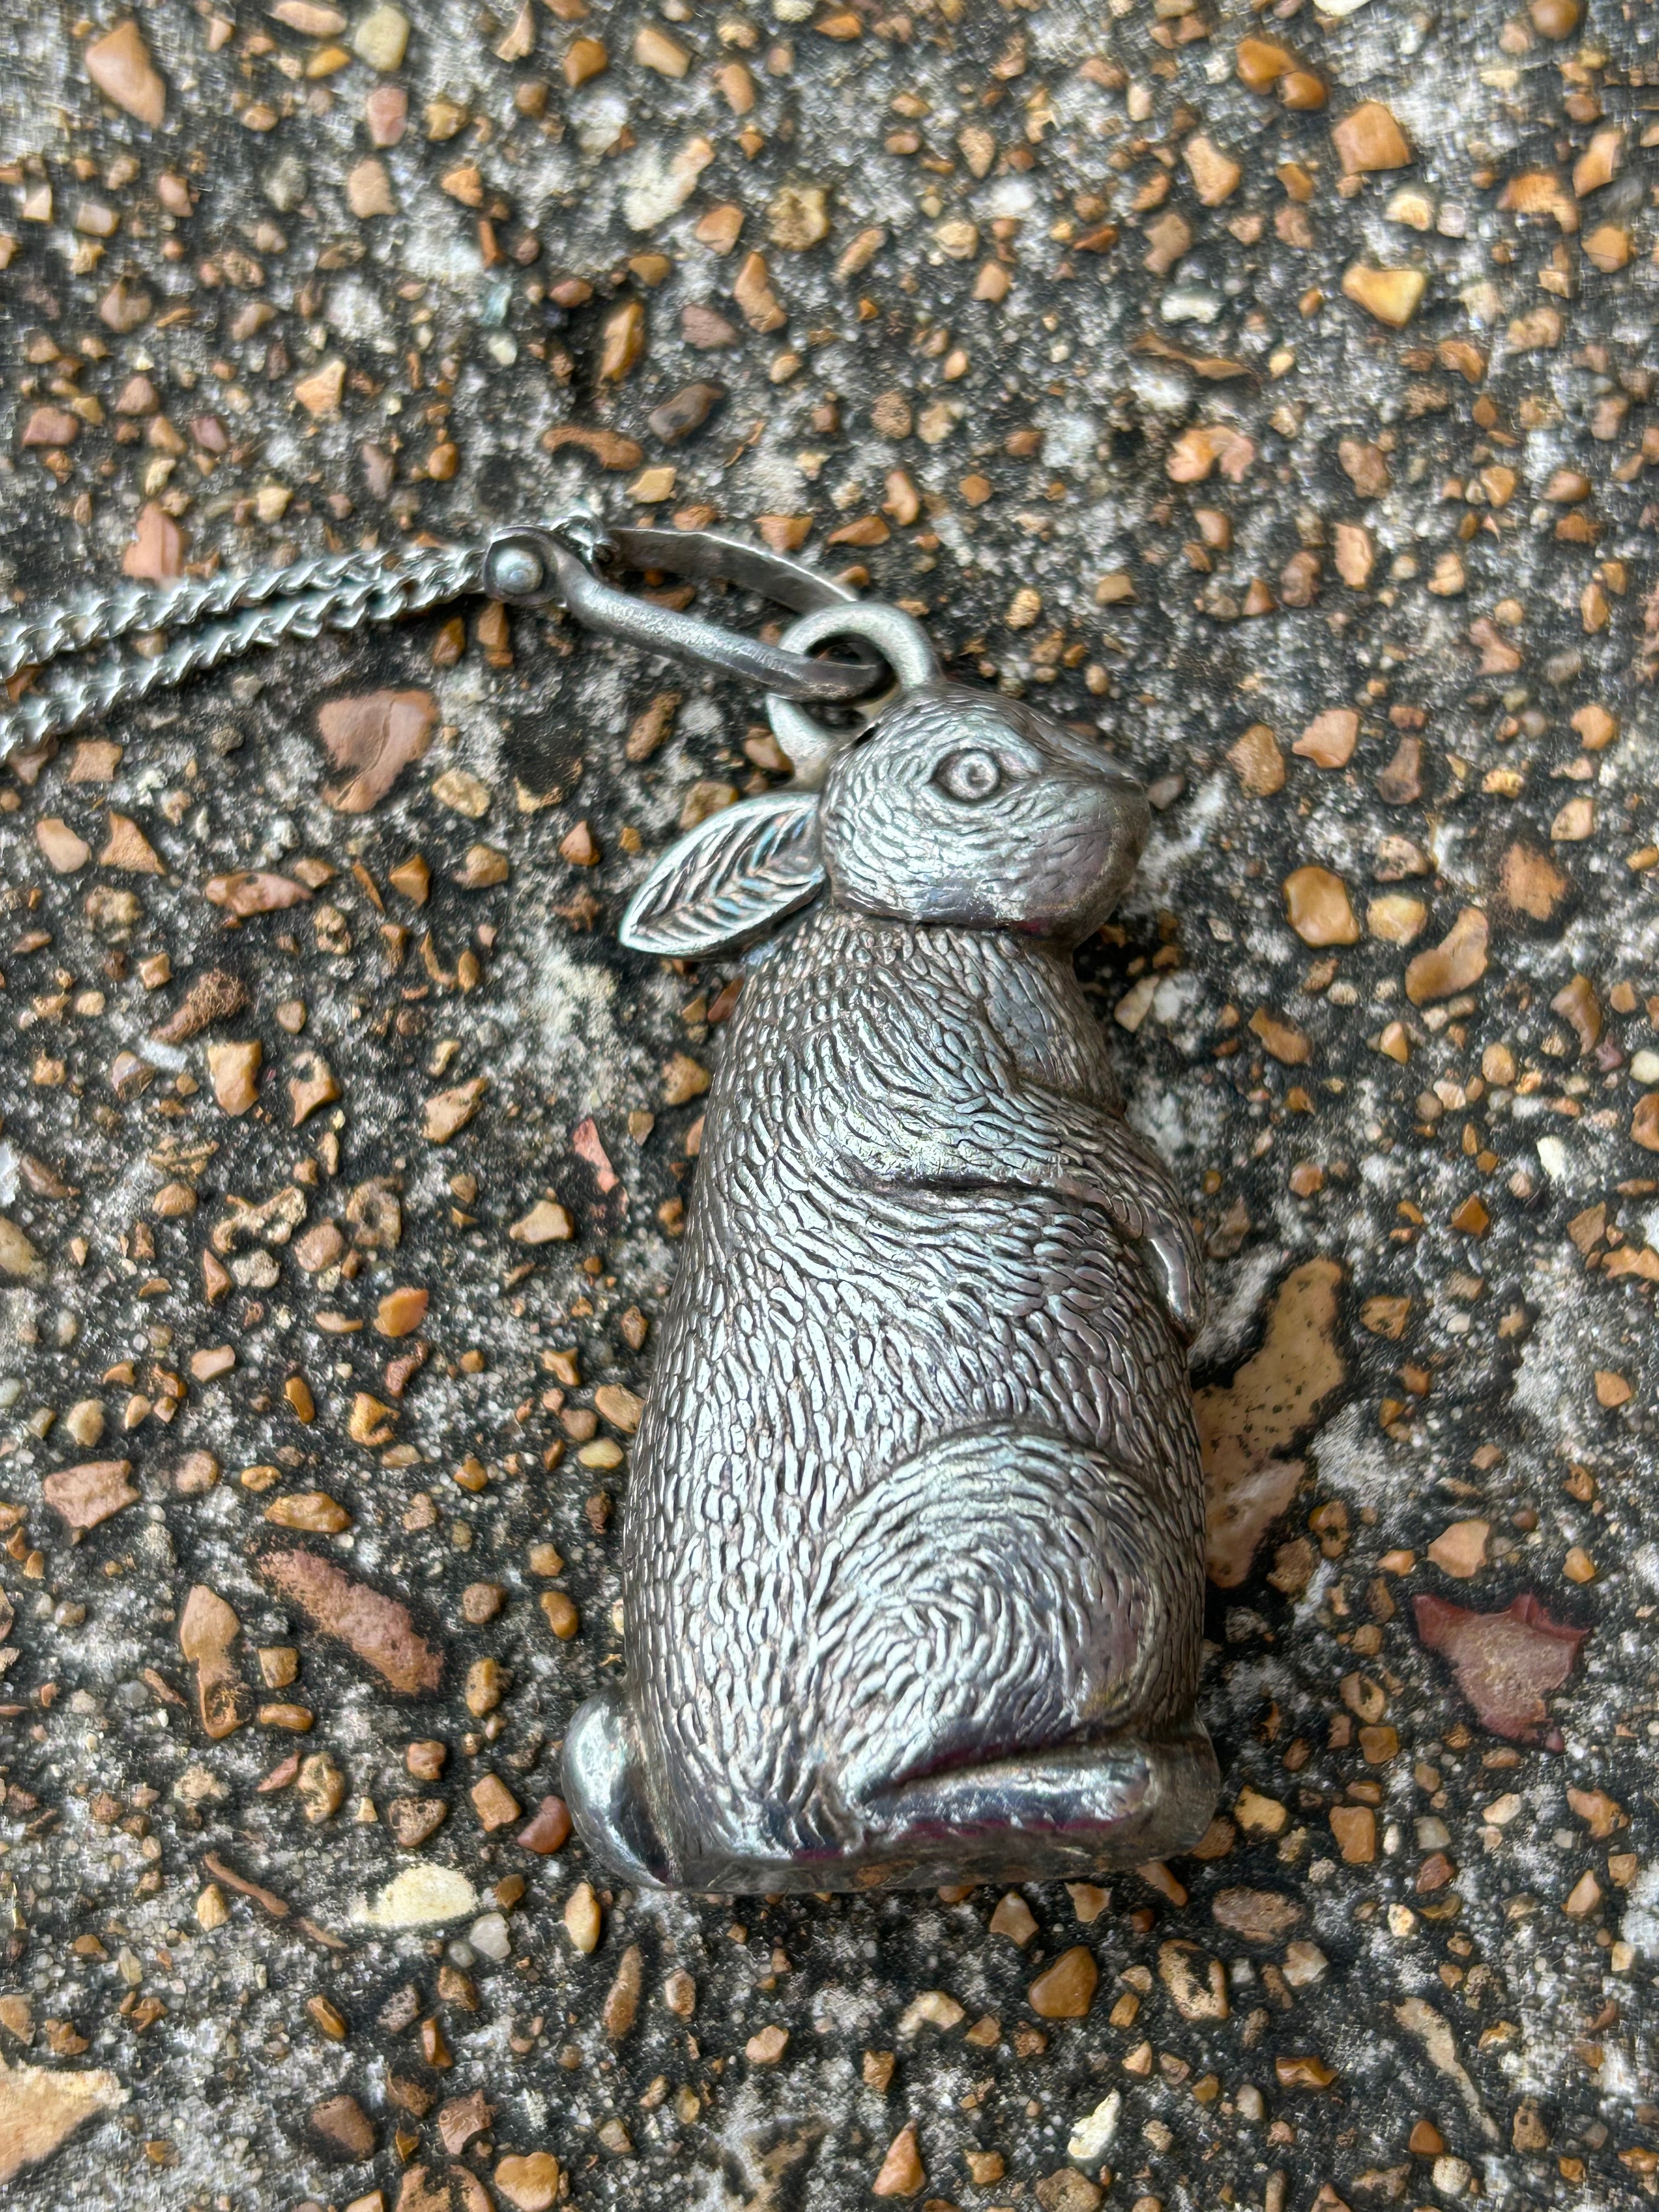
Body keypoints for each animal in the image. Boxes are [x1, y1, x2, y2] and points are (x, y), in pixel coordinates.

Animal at [563, 676, 1219, 1892]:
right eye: (973, 775)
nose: (1128, 801)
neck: (921, 925)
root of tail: (741, 1828)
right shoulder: (903, 1064)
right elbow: (1065, 1146)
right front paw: (1178, 1267)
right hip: (1042, 1547)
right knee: (870, 1796)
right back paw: (1120, 1785)